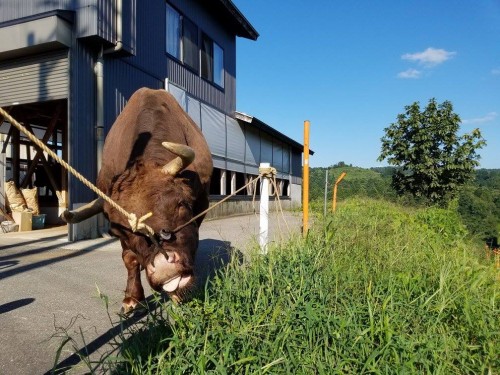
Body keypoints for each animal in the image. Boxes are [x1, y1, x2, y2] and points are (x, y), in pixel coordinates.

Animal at [61, 87, 213, 312]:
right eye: (120, 231)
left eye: (180, 205)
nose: (164, 268)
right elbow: (129, 259)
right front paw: (132, 297)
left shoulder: (201, 204)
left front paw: (176, 296)